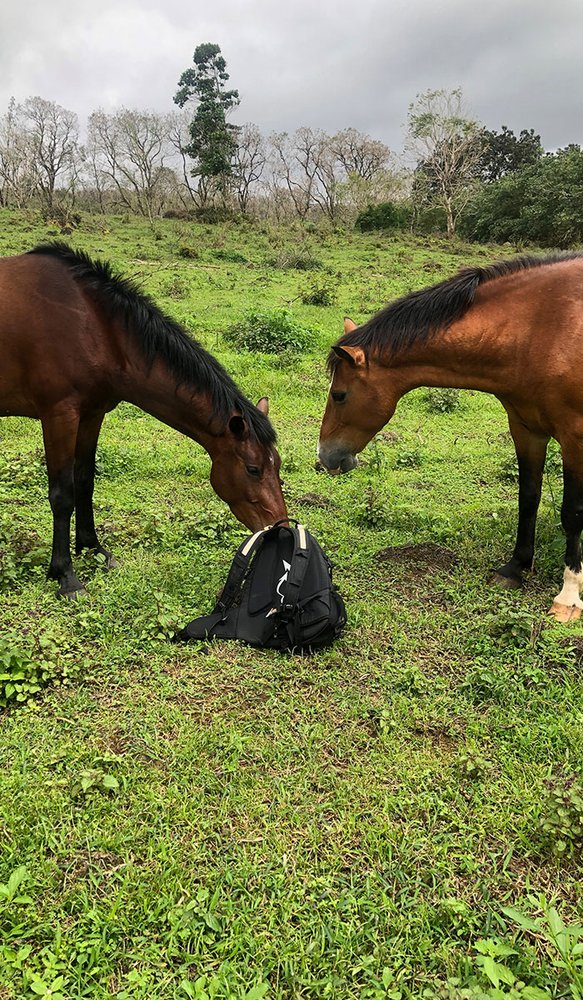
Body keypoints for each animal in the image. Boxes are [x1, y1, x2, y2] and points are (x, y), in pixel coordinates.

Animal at [0, 243, 288, 596]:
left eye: (277, 465)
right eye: (253, 469)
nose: (280, 527)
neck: (92, 325)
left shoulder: (92, 413)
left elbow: (85, 481)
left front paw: (94, 549)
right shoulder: (59, 415)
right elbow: (62, 495)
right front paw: (65, 575)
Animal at [320, 254, 583, 620]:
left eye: (340, 395)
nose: (324, 456)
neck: (540, 328)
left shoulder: (574, 438)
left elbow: (572, 512)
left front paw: (569, 596)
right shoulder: (526, 429)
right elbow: (528, 497)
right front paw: (515, 568)